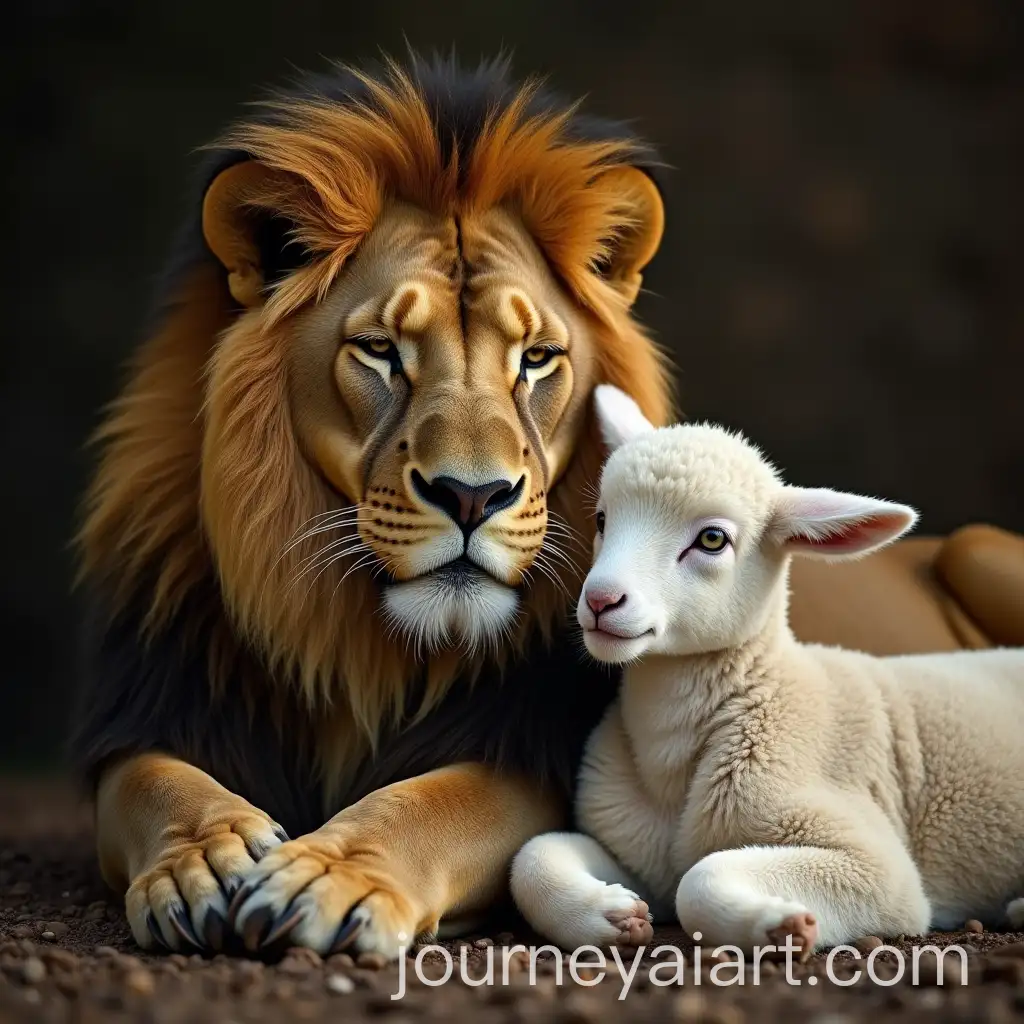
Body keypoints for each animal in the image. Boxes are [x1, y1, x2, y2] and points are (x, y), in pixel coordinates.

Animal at [73, 55, 1024, 958]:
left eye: (535, 359)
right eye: (379, 351)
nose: (472, 494)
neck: (359, 647)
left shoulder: (527, 754)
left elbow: (425, 807)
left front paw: (332, 877)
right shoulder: (154, 711)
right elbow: (157, 783)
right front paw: (201, 858)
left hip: (980, 547)